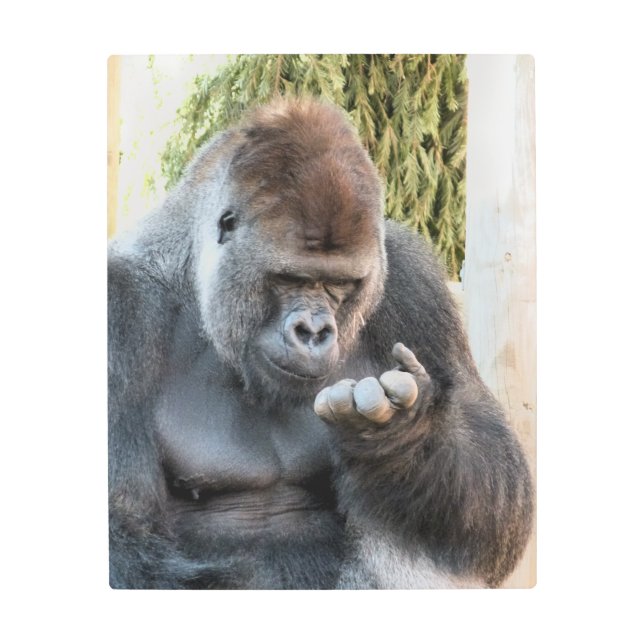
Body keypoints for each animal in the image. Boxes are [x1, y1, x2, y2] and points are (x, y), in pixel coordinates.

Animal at [108, 97, 533, 589]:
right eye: (290, 279)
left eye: (339, 284)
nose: (313, 332)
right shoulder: (120, 308)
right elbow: (125, 538)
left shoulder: (414, 283)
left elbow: (497, 506)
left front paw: (399, 438)